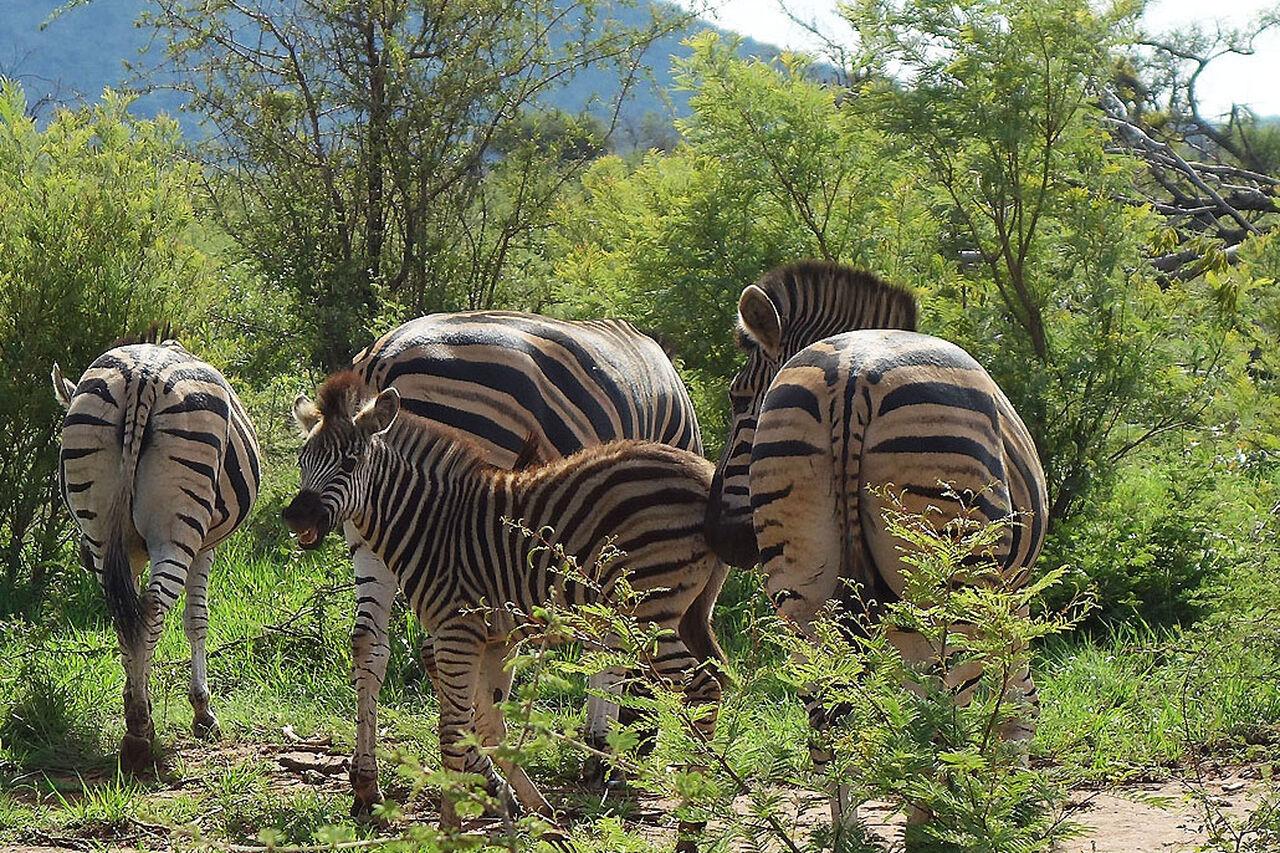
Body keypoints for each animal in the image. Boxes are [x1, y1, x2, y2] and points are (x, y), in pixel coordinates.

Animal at [52, 337, 261, 772]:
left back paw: (136, 722)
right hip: (179, 526)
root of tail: (142, 376)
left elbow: (129, 624)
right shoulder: (205, 546)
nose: (82, 557)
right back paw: (139, 734)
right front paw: (202, 711)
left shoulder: (125, 551)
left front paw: (136, 694)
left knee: (125, 614)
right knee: (151, 610)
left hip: (101, 524)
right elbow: (196, 619)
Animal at [282, 370, 723, 834]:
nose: (295, 516)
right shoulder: (493, 639)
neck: (431, 522)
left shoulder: (458, 629)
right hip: (681, 612)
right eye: (302, 462)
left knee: (703, 687)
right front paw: (528, 806)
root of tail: (707, 475)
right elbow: (491, 725)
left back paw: (691, 814)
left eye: (349, 464)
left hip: (646, 613)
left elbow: (453, 731)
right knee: (714, 677)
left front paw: (451, 827)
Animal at [706, 261, 1047, 826]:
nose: (722, 541)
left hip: (802, 590)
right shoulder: (1003, 592)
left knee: (827, 719)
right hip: (942, 579)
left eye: (737, 398)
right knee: (939, 707)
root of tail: (851, 376)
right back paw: (934, 820)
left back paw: (850, 829)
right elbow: (1012, 689)